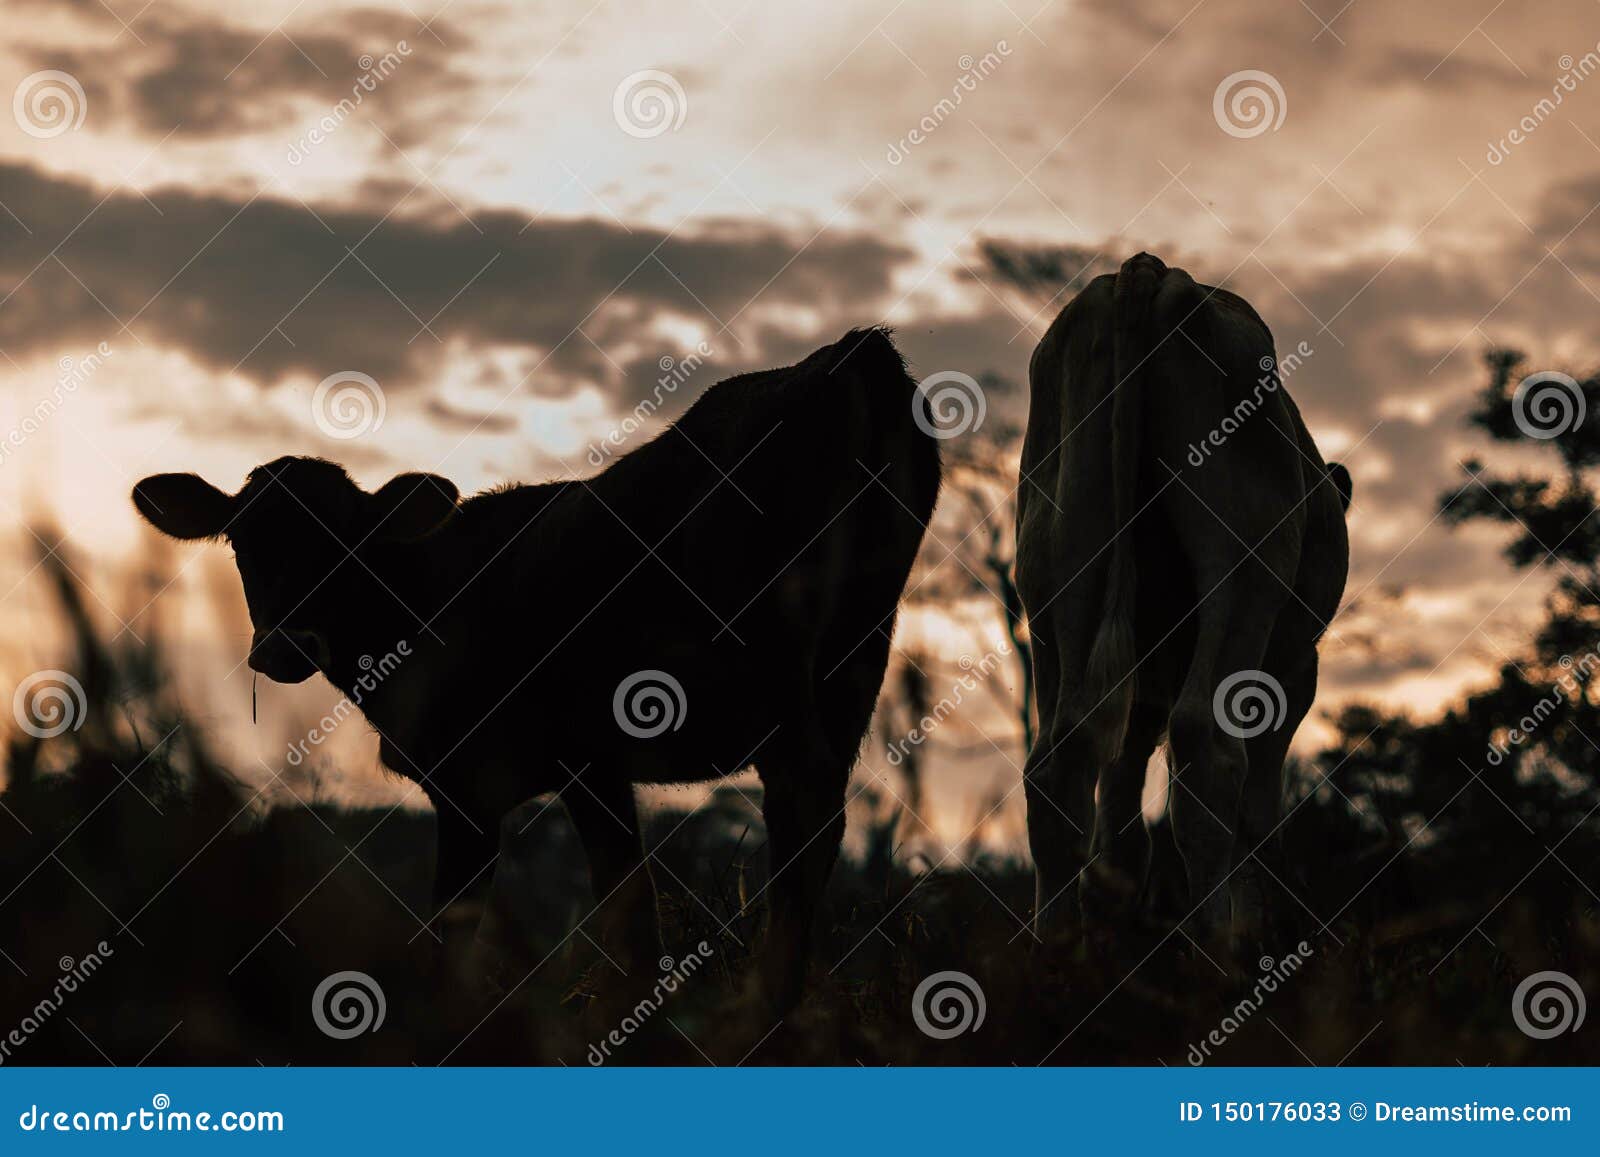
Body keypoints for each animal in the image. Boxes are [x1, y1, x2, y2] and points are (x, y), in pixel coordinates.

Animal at [137, 329, 940, 1011]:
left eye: (346, 545)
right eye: (242, 543)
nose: (284, 646)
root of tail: (858, 349)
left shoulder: (528, 771)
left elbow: (505, 931)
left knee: (801, 814)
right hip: (854, 662)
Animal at [1017, 252, 1344, 947]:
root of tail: (1151, 270)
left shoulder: (1142, 695)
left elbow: (1120, 823)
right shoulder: (1294, 671)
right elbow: (1258, 812)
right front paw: (1260, 926)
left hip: (1058, 573)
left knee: (1057, 762)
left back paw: (1055, 954)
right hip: (1245, 565)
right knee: (1206, 750)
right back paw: (1217, 950)